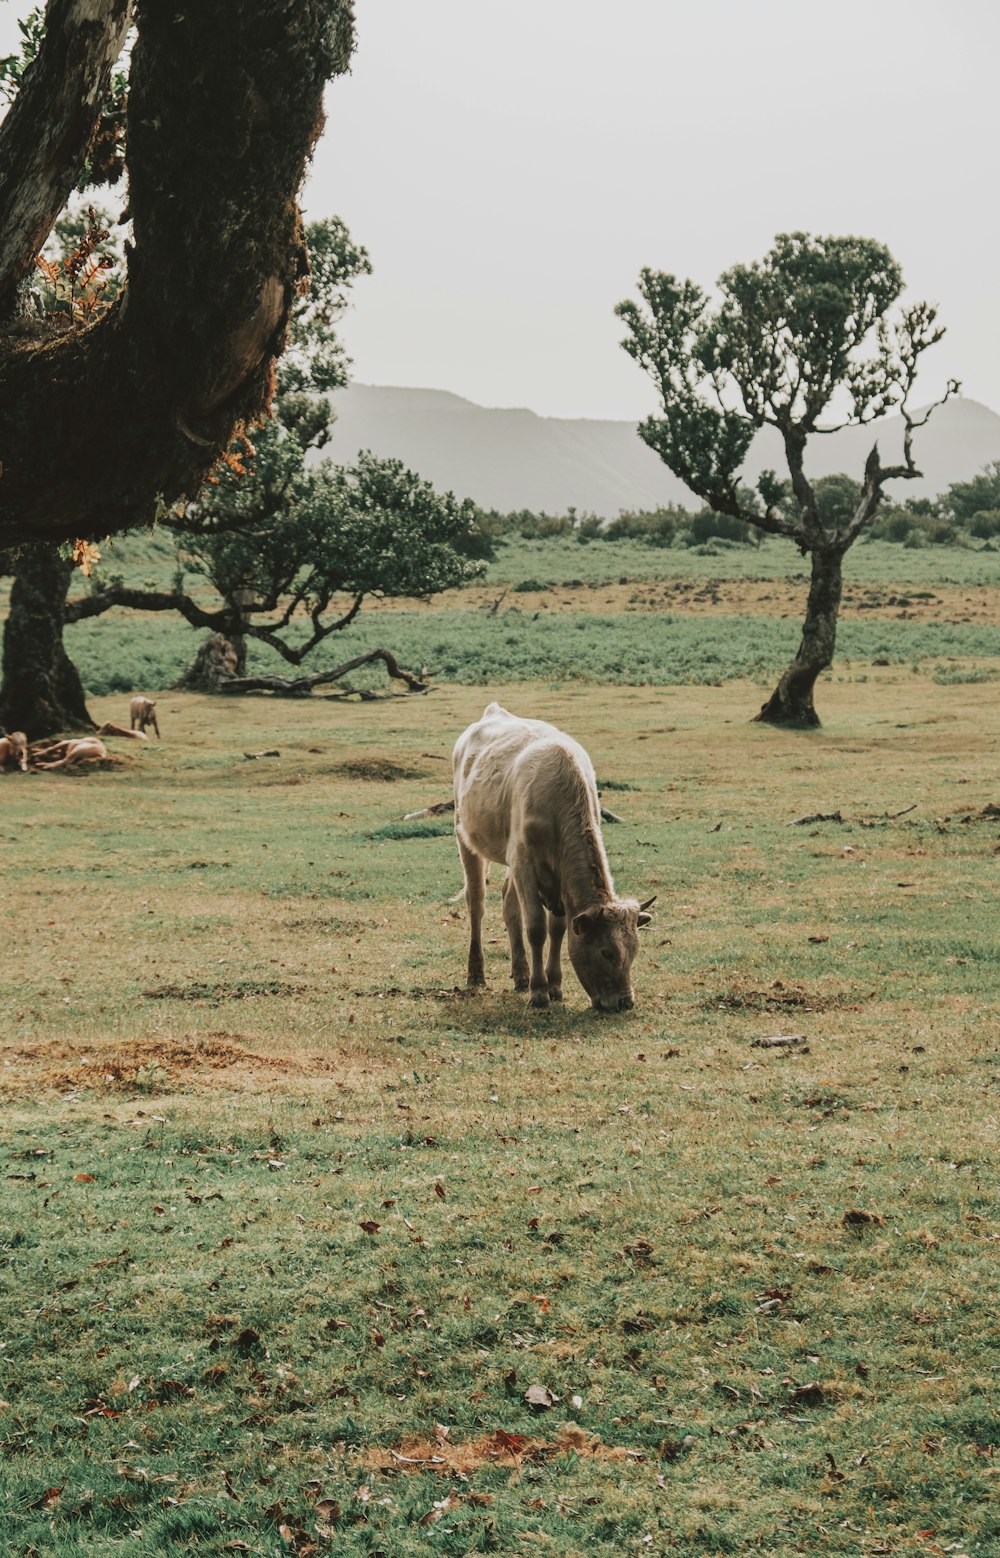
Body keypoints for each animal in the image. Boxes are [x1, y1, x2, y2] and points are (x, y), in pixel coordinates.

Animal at [451, 704, 654, 1015]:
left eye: (634, 951)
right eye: (606, 952)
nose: (624, 1002)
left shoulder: (555, 878)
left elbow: (556, 929)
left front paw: (554, 986)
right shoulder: (524, 864)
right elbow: (536, 927)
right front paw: (539, 992)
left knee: (509, 904)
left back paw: (521, 974)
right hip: (466, 838)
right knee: (477, 903)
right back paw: (477, 973)